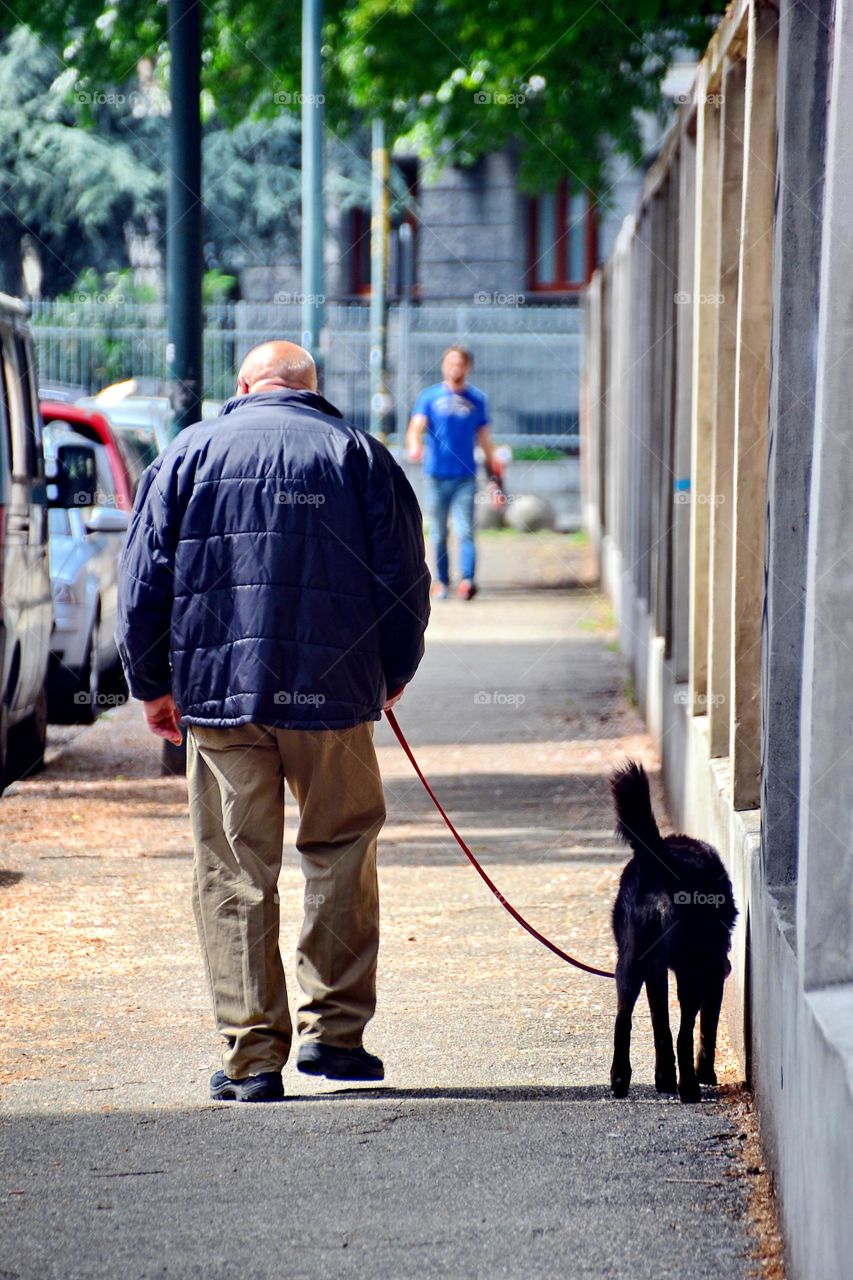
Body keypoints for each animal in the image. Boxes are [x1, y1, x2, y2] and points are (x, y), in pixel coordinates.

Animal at [604, 757, 737, 1100]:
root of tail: (659, 860)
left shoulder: (656, 969)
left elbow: (659, 1021)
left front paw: (663, 1076)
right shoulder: (711, 974)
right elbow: (706, 1030)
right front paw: (705, 1074)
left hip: (630, 962)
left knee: (623, 1019)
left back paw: (622, 1078)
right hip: (691, 971)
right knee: (685, 1031)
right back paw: (689, 1087)